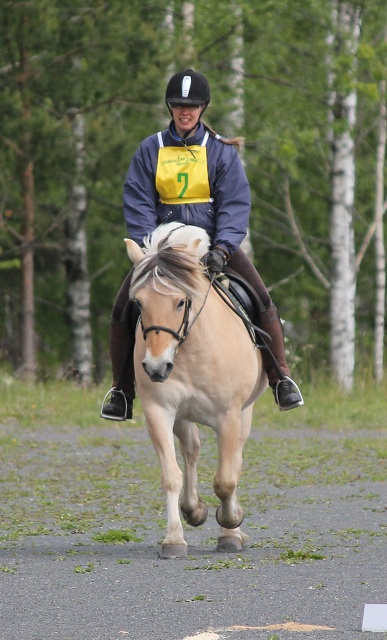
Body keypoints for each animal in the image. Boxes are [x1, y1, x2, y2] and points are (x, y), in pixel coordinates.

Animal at [126, 225, 268, 560]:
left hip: (244, 413)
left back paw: (232, 530)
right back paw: (193, 509)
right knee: (191, 450)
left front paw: (231, 525)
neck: (190, 349)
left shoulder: (228, 416)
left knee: (235, 460)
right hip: (183, 416)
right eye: (139, 303)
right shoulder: (159, 412)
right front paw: (174, 538)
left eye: (181, 302)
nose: (156, 367)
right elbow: (171, 475)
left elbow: (226, 480)